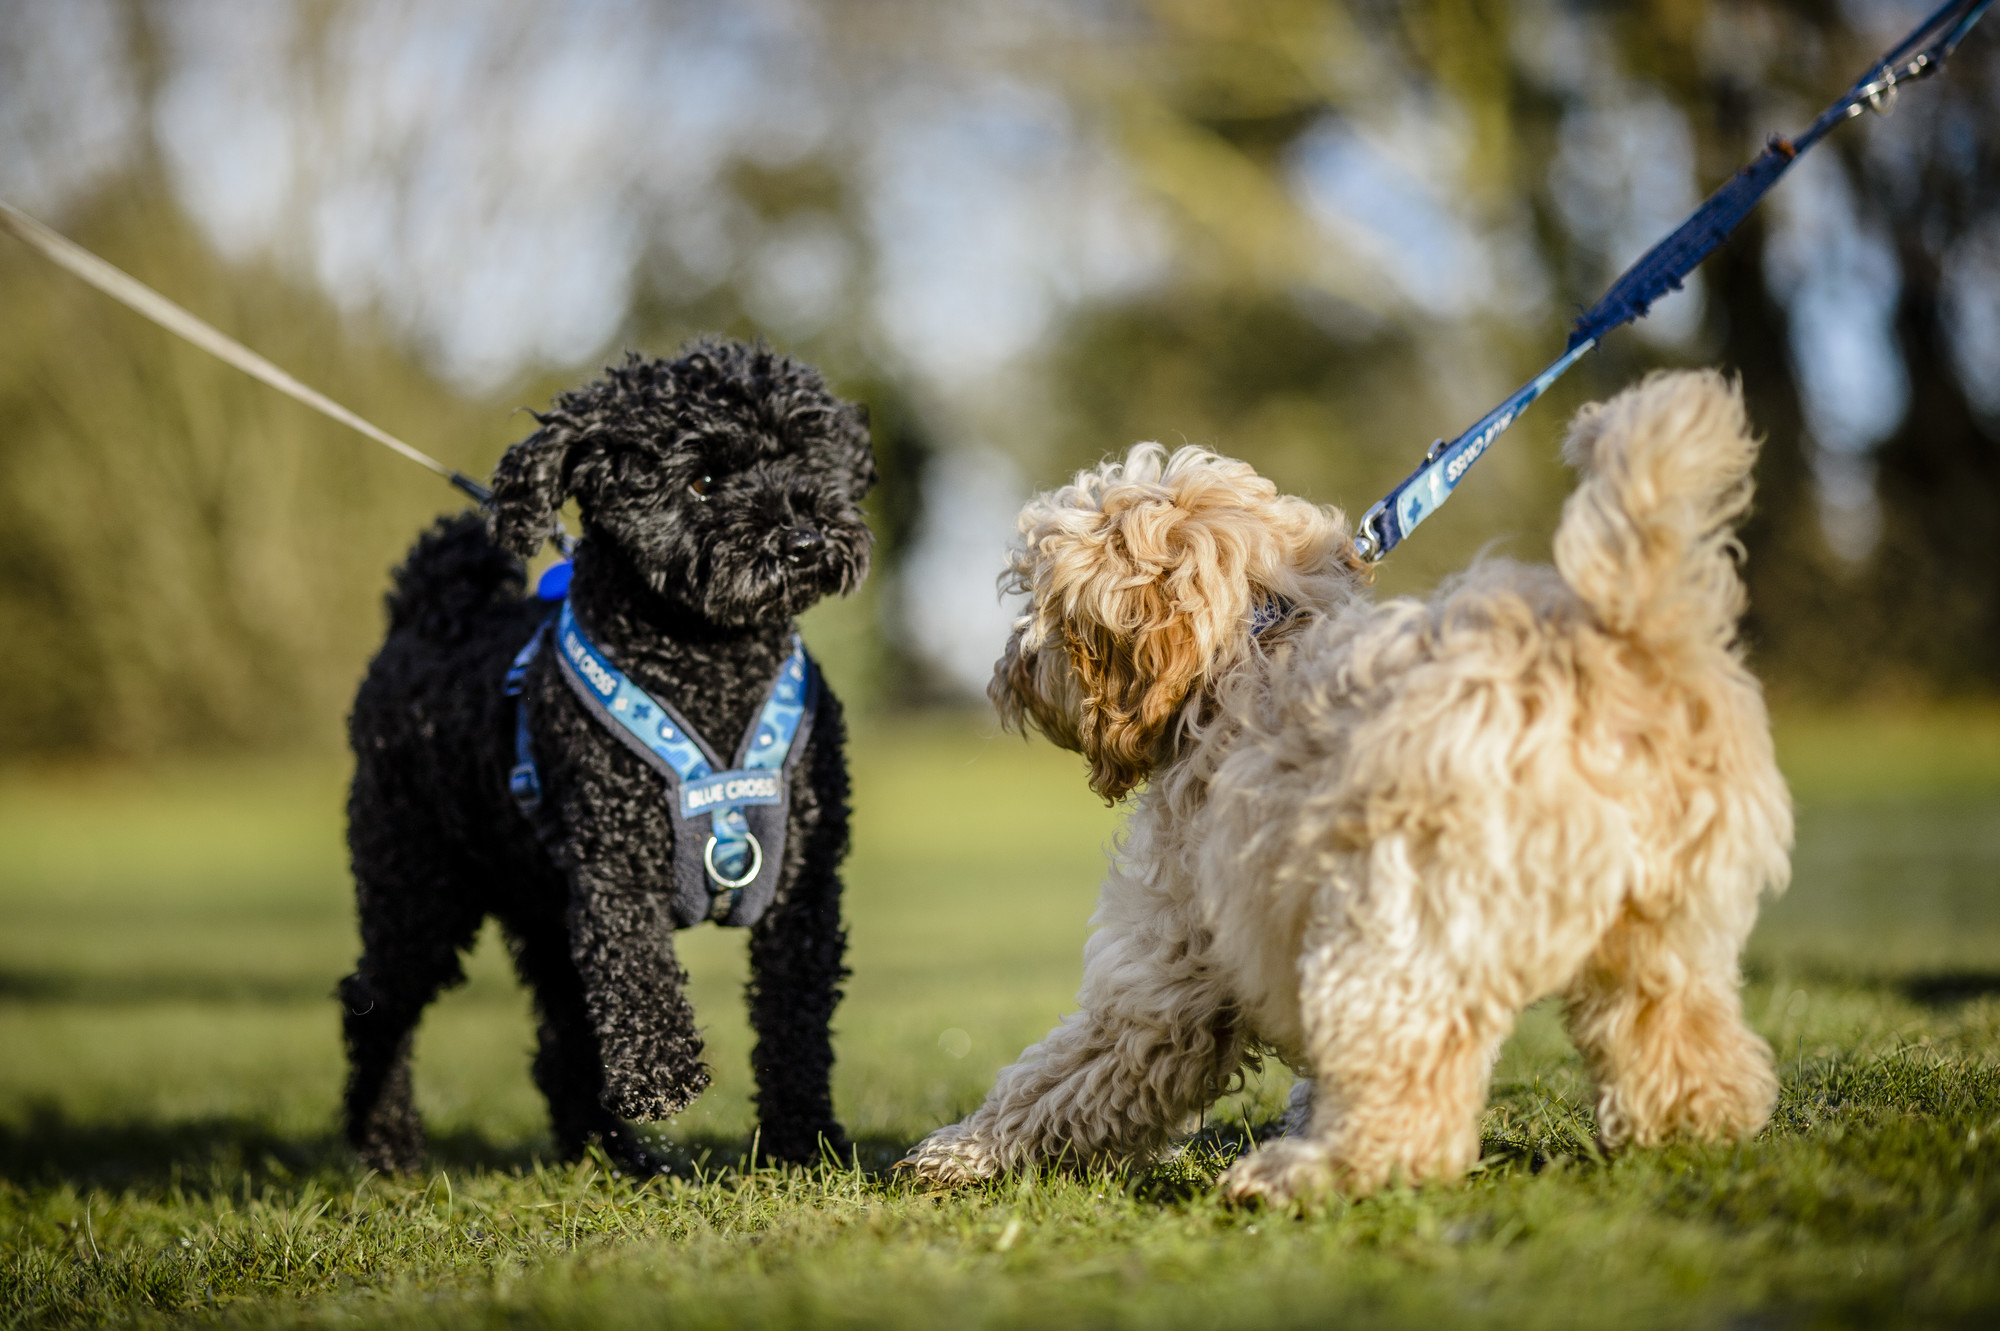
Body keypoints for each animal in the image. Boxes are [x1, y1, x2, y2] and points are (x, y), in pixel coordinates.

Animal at [340, 339, 872, 1175]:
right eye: (702, 479)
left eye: (802, 454)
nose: (806, 539)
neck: (709, 670)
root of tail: (421, 613)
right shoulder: (613, 870)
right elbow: (639, 976)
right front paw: (663, 1074)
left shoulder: (803, 886)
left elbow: (795, 1024)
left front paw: (803, 1142)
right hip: (415, 888)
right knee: (374, 1007)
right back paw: (386, 1144)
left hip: (534, 907)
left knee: (561, 1035)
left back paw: (612, 1154)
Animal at [908, 367, 1800, 1199]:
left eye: (1043, 601)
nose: (1006, 673)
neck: (1250, 640)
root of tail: (1622, 646)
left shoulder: (1175, 961)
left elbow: (1068, 1071)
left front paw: (959, 1151)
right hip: (1671, 927)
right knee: (1684, 1046)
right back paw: (1688, 1135)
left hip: (1399, 924)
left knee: (1413, 1106)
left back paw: (1304, 1175)